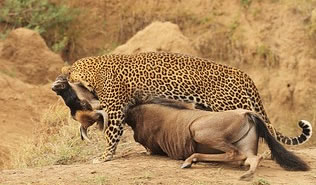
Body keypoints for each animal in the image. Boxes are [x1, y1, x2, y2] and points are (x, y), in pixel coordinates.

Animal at [60, 51, 312, 162]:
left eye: (69, 73)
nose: (60, 78)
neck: (94, 72)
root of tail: (243, 74)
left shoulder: (114, 109)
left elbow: (111, 135)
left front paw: (104, 157)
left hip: (231, 103)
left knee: (262, 129)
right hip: (211, 108)